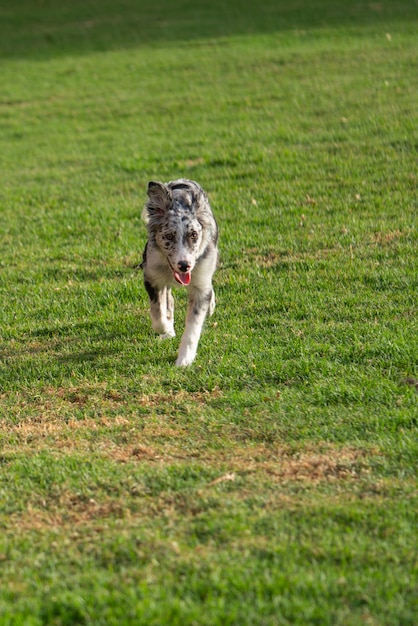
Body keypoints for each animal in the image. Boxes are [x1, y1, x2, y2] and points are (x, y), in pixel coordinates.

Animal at [141, 178, 219, 366]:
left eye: (194, 235)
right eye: (169, 236)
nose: (184, 266)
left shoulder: (200, 285)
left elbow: (193, 327)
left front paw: (184, 360)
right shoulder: (152, 277)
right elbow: (158, 314)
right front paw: (167, 329)